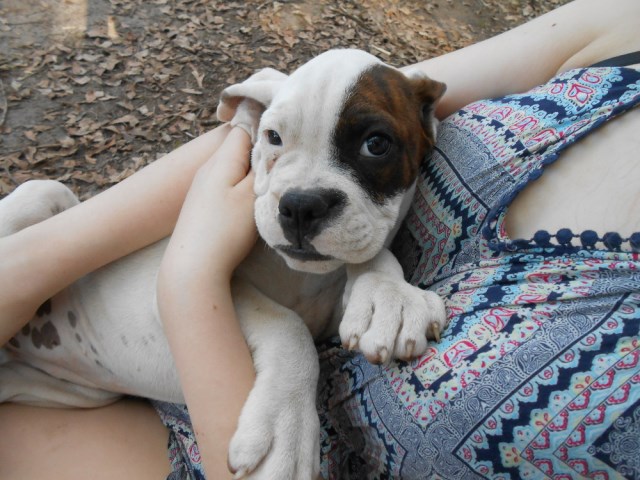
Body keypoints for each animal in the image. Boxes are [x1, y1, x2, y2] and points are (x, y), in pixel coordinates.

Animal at [0, 49, 448, 480]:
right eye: (272, 137)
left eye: (376, 144)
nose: (301, 205)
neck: (299, 277)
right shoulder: (175, 278)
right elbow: (286, 324)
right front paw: (287, 432)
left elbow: (371, 255)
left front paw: (389, 296)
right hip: (44, 194)